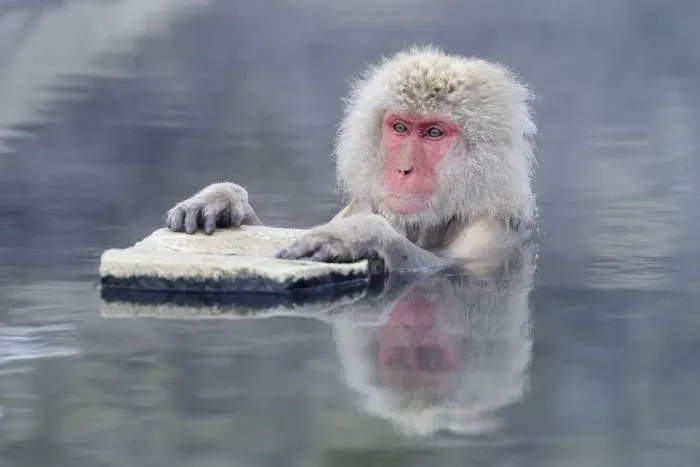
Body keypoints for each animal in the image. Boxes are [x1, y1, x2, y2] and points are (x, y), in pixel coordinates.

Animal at [165, 45, 537, 273]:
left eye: (434, 133)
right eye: (400, 127)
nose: (403, 169)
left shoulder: (487, 232)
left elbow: (445, 268)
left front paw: (360, 236)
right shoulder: (360, 203)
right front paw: (223, 200)